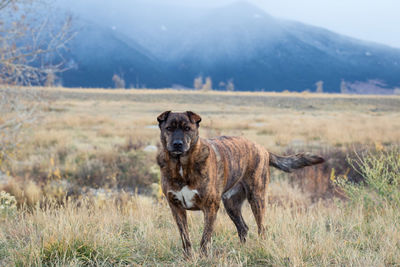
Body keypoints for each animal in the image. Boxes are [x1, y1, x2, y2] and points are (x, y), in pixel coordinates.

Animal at [156, 111, 324, 258]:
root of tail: (263, 149)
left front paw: (203, 257)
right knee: (243, 228)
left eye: (187, 128)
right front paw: (188, 258)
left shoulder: (210, 207)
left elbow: (205, 238)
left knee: (262, 228)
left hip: (257, 198)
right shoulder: (176, 208)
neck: (181, 165)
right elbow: (185, 238)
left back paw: (261, 247)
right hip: (231, 204)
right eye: (169, 128)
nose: (177, 144)